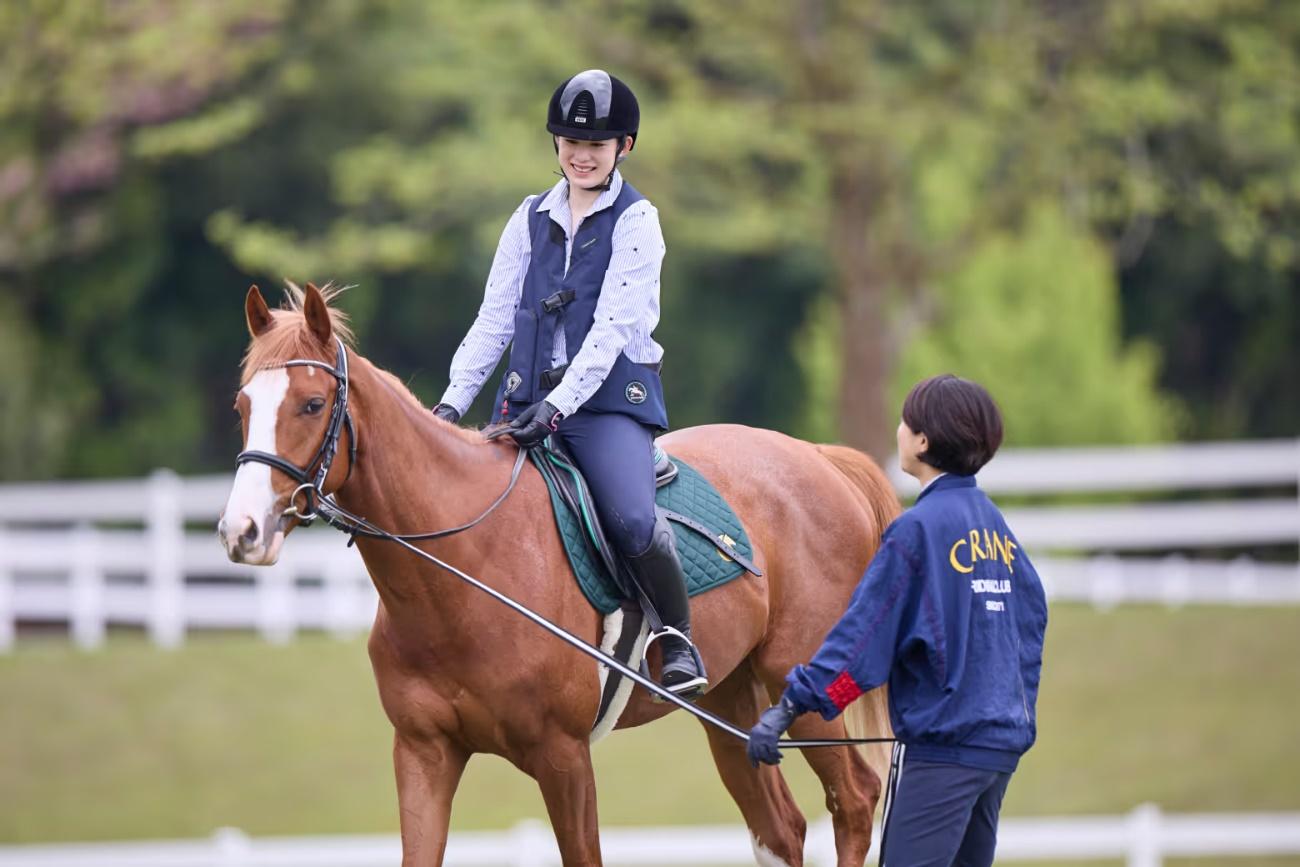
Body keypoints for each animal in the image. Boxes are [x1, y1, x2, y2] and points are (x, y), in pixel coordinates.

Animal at [218, 282, 900, 867]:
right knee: (781, 830)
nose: (241, 531)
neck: (465, 566)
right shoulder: (423, 751)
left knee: (855, 801)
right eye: (242, 404)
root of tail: (821, 458)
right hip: (734, 706)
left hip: (800, 689)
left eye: (312, 404)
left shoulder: (563, 758)